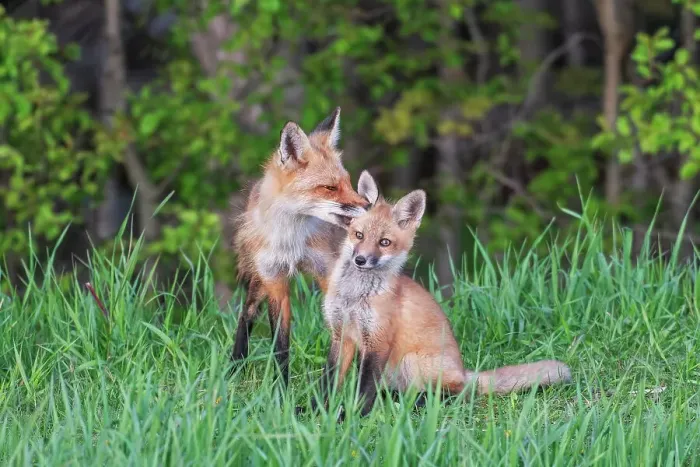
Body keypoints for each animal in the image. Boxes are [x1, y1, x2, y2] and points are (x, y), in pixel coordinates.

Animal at [230, 107, 375, 386]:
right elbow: (281, 346)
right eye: (329, 187)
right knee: (247, 313)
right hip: (259, 281)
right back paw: (233, 368)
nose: (370, 206)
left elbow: (342, 342)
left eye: (348, 182)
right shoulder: (274, 280)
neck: (292, 241)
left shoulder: (330, 274)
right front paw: (281, 392)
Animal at [318, 173, 572, 416]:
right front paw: (317, 410)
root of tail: (464, 372)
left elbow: (364, 391)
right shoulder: (341, 335)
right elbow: (329, 381)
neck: (353, 296)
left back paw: (414, 403)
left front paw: (351, 416)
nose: (360, 260)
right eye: (359, 235)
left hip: (412, 361)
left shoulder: (377, 341)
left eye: (384, 242)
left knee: (457, 395)